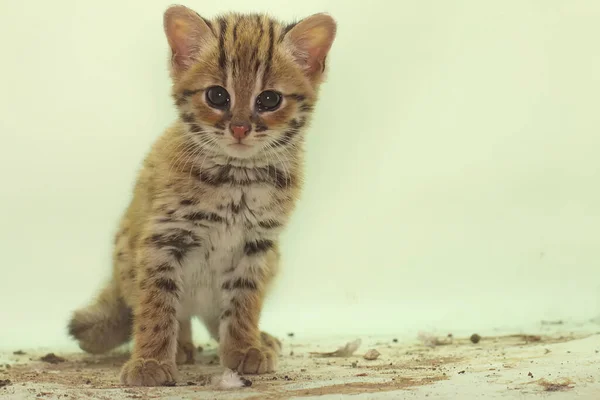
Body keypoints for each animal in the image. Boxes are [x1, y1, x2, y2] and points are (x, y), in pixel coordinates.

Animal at [69, 3, 338, 388]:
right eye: (217, 96)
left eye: (269, 99)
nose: (239, 128)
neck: (237, 178)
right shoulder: (162, 239)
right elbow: (158, 303)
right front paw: (150, 359)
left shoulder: (257, 245)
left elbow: (243, 302)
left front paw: (243, 347)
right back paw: (180, 346)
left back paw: (258, 339)